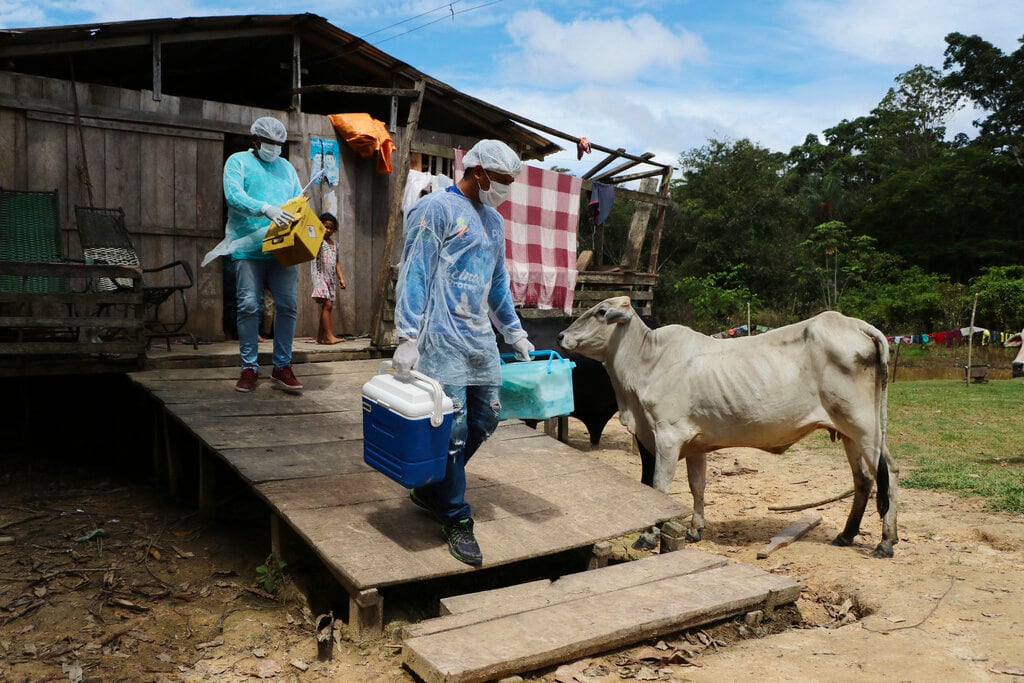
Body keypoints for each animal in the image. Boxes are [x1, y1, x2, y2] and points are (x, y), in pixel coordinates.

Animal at [557, 296, 901, 557]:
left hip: (864, 427)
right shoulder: (695, 442)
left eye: (601, 312)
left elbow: (658, 488)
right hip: (848, 431)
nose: (560, 336)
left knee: (890, 473)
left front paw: (647, 537)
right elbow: (697, 485)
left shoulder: (667, 436)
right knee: (864, 479)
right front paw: (695, 529)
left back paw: (885, 543)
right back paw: (847, 534)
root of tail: (854, 324)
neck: (647, 362)